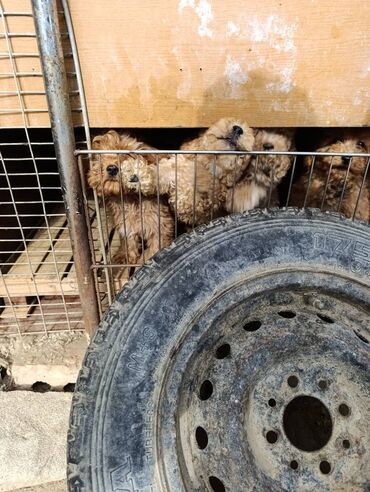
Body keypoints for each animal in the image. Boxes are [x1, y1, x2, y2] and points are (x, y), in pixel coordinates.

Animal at [87, 131, 174, 276]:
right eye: (101, 156)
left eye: (128, 155)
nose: (111, 168)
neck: (129, 198)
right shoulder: (125, 223)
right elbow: (128, 242)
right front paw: (124, 257)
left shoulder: (160, 224)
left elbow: (157, 245)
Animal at [121, 118, 254, 226]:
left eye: (243, 156)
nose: (238, 129)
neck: (209, 163)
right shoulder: (175, 168)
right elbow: (162, 173)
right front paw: (135, 173)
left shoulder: (197, 205)